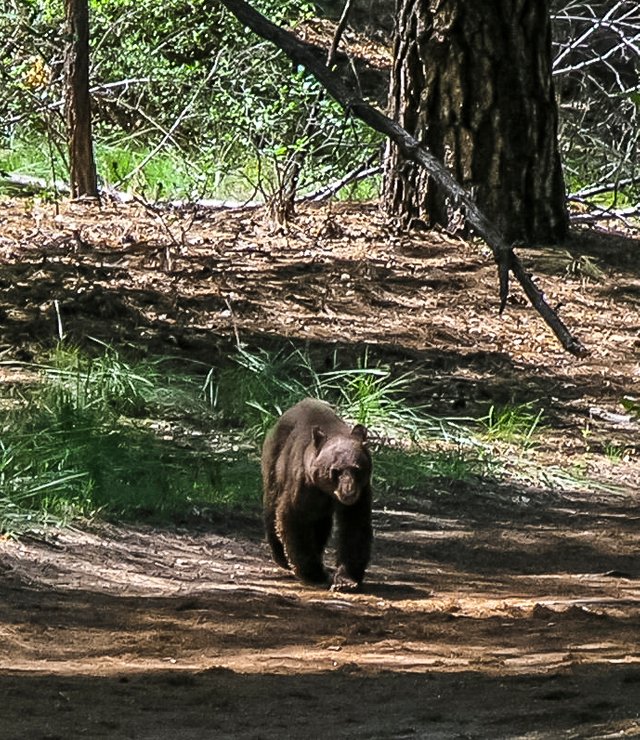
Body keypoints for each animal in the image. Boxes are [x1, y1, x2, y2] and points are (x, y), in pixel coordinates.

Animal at [260, 396, 372, 592]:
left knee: (321, 525)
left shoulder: (362, 492)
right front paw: (314, 574)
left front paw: (346, 579)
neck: (325, 490)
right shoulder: (303, 485)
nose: (348, 492)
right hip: (274, 465)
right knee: (272, 507)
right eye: (336, 471)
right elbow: (293, 518)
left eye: (357, 469)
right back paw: (281, 557)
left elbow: (355, 526)